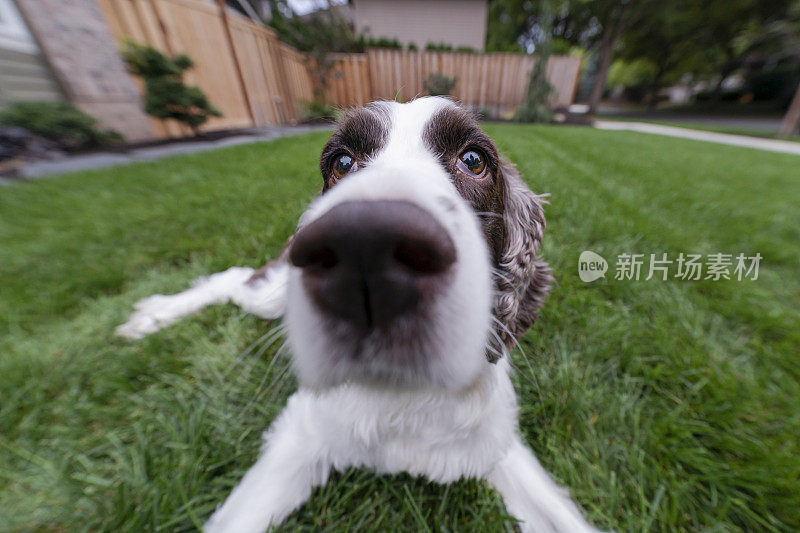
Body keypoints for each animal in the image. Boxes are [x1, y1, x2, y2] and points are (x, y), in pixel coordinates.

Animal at [119, 96, 600, 532]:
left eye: (473, 159)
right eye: (342, 162)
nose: (365, 243)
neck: (402, 397)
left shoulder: (494, 442)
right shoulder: (303, 433)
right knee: (232, 279)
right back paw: (151, 316)